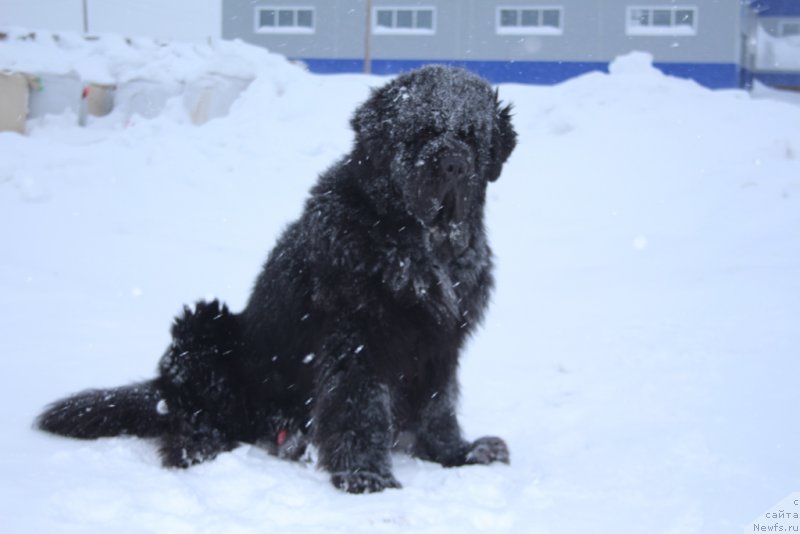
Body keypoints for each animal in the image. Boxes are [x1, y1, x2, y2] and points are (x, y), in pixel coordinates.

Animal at [36, 65, 520, 496]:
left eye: (471, 136)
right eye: (422, 131)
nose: (454, 165)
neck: (418, 243)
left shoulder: (441, 343)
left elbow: (439, 406)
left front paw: (457, 453)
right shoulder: (357, 339)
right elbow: (360, 408)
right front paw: (365, 475)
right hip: (205, 326)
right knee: (186, 413)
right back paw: (201, 444)